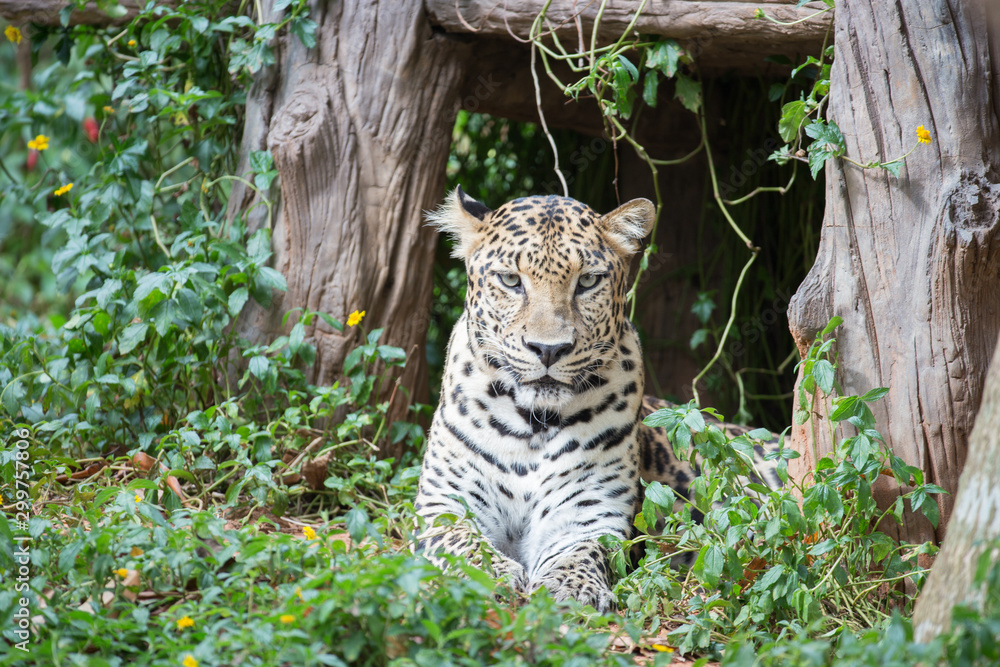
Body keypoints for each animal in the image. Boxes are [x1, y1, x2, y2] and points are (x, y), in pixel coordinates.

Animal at [414, 187, 781, 612]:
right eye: (510, 280)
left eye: (587, 282)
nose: (548, 349)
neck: (531, 423)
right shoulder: (444, 505)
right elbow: (460, 543)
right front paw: (489, 576)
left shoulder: (590, 512)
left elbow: (582, 551)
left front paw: (571, 588)